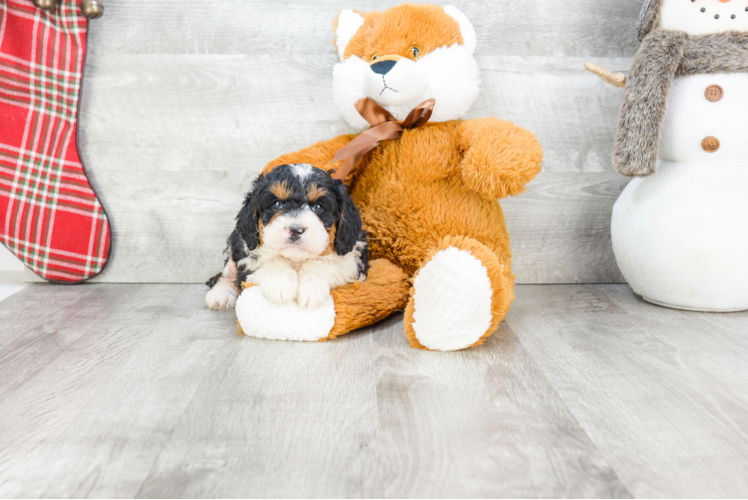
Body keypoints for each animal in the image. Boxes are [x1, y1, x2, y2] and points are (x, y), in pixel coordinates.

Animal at [206, 164, 370, 310]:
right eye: (277, 204)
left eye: (318, 207)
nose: (295, 230)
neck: (295, 259)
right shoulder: (247, 252)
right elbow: (269, 260)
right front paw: (280, 285)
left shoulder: (353, 257)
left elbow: (326, 263)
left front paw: (312, 289)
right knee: (227, 272)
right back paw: (221, 293)